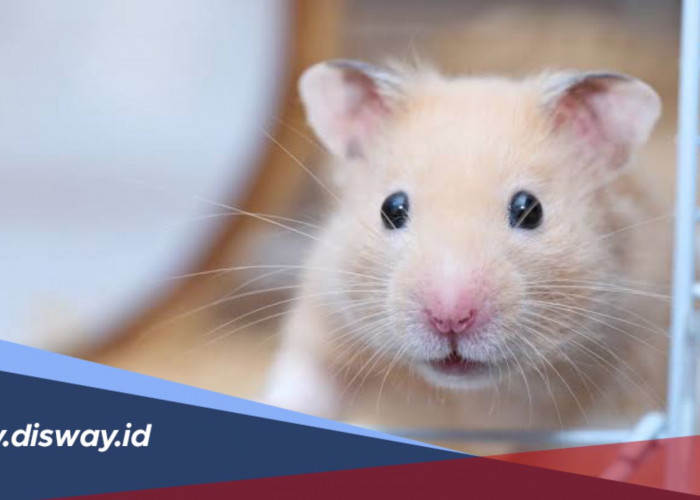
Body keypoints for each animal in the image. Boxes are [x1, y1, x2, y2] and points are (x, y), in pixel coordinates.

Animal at [263, 59, 671, 432]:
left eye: (529, 209)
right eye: (391, 208)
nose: (450, 318)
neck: (470, 395)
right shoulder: (324, 319)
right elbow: (305, 384)